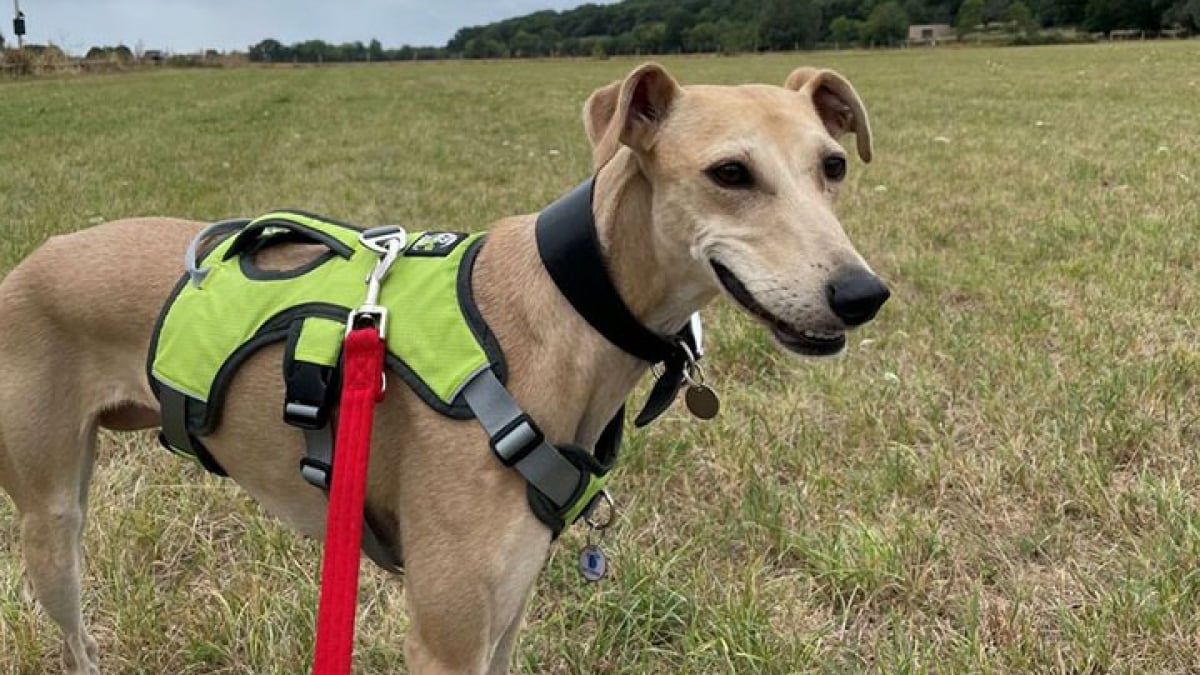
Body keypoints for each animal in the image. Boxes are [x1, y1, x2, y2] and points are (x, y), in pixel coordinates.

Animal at [2, 64, 892, 672]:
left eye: (833, 167)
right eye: (729, 173)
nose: (862, 293)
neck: (563, 309)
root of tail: (26, 261)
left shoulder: (506, 616)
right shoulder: (444, 633)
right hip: (53, 521)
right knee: (74, 636)